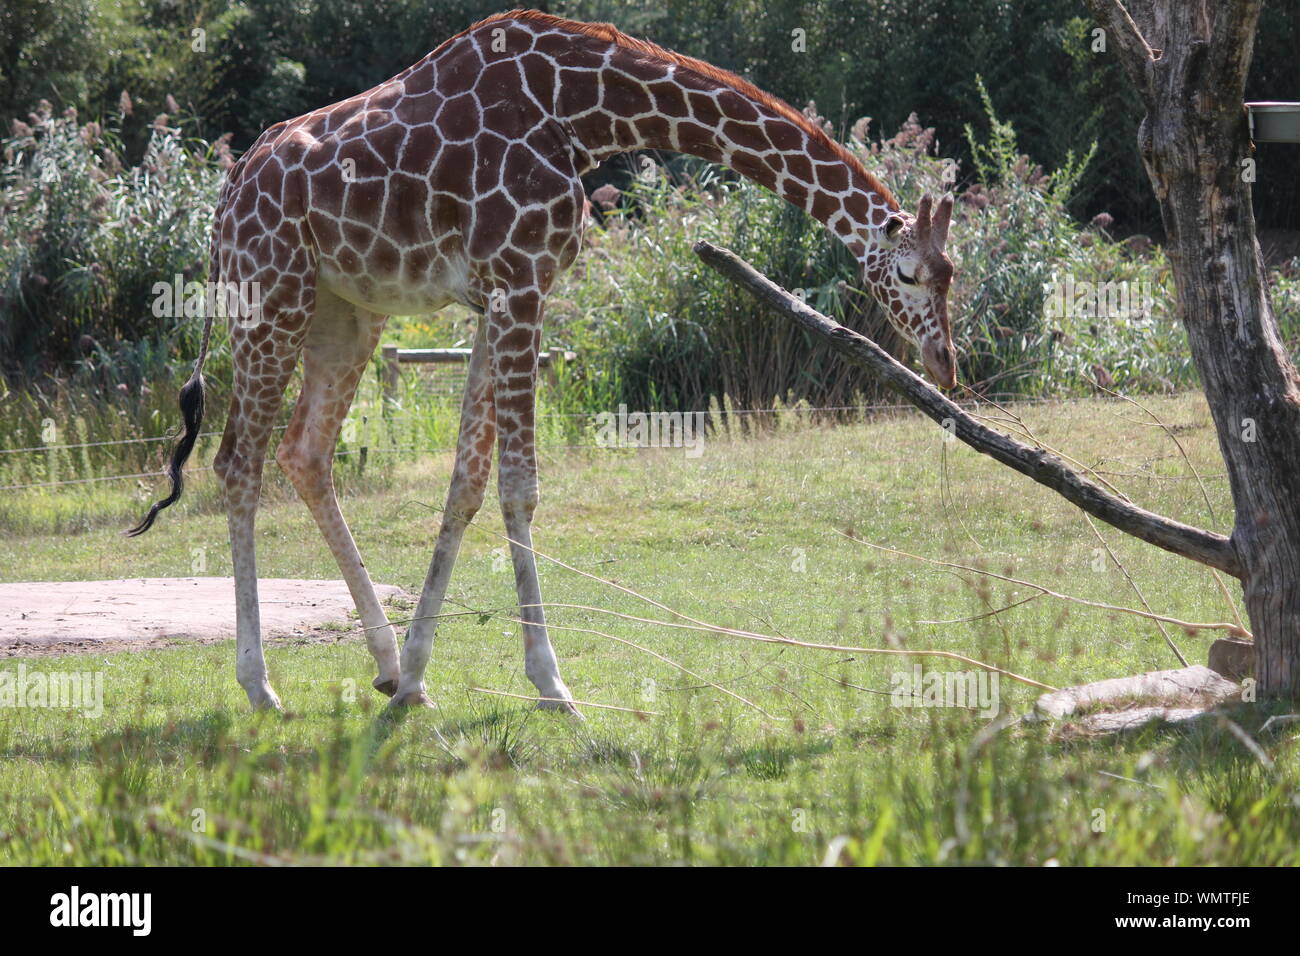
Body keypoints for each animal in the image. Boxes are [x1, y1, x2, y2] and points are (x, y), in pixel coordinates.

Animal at [126, 7, 956, 712]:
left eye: (955, 271)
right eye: (911, 273)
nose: (944, 362)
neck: (585, 111)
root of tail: (225, 198)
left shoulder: (500, 293)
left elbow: (466, 481)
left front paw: (418, 673)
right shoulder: (521, 281)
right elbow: (519, 486)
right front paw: (551, 683)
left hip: (346, 310)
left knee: (304, 452)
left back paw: (385, 667)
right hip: (269, 295)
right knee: (238, 461)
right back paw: (259, 685)